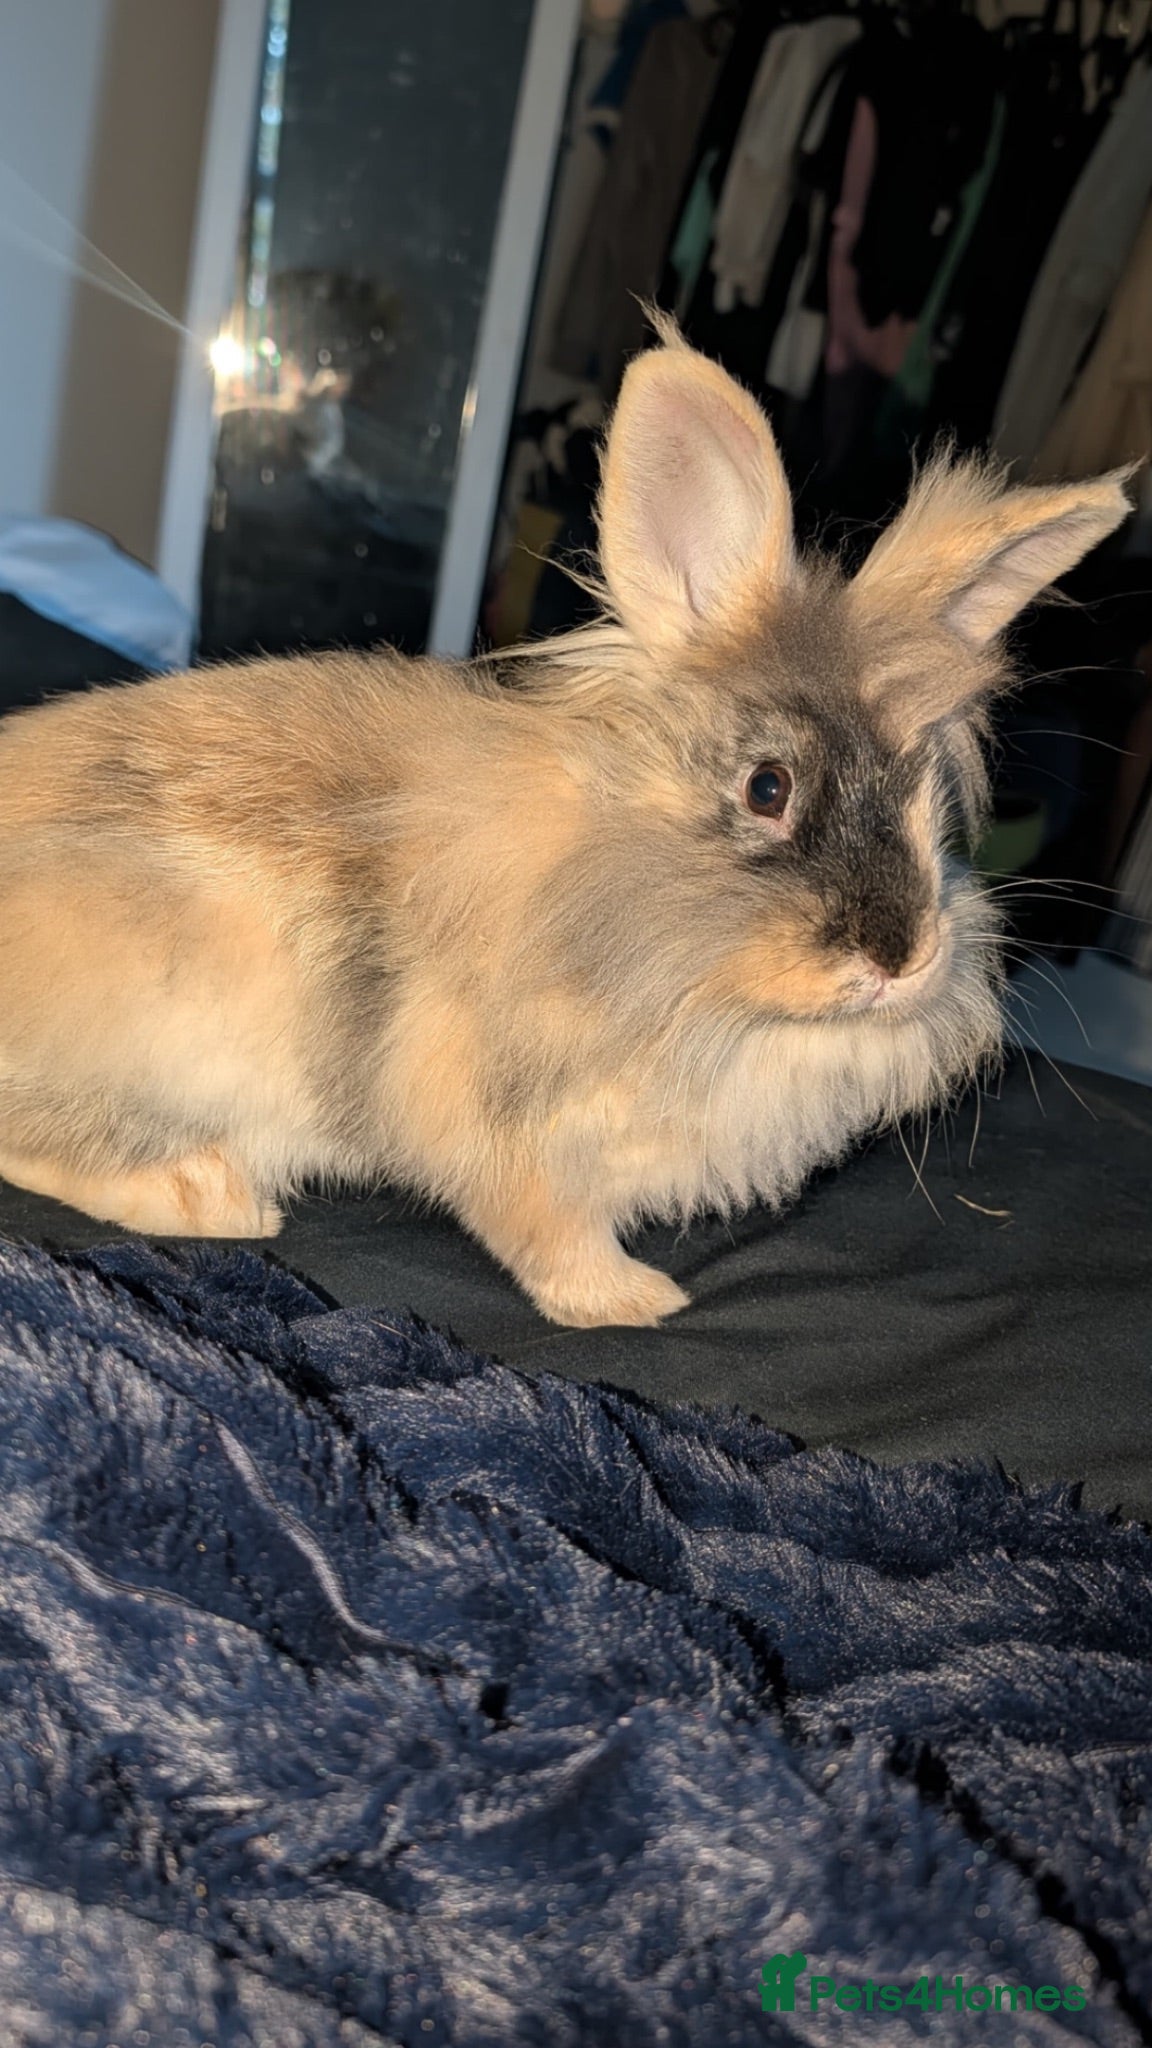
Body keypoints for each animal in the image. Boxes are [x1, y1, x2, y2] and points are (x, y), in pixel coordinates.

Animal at [0, 322, 1131, 1327]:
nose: (901, 959)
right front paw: (632, 1302)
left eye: (932, 802)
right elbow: (545, 1231)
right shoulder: (503, 1132)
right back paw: (210, 1197)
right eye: (768, 787)